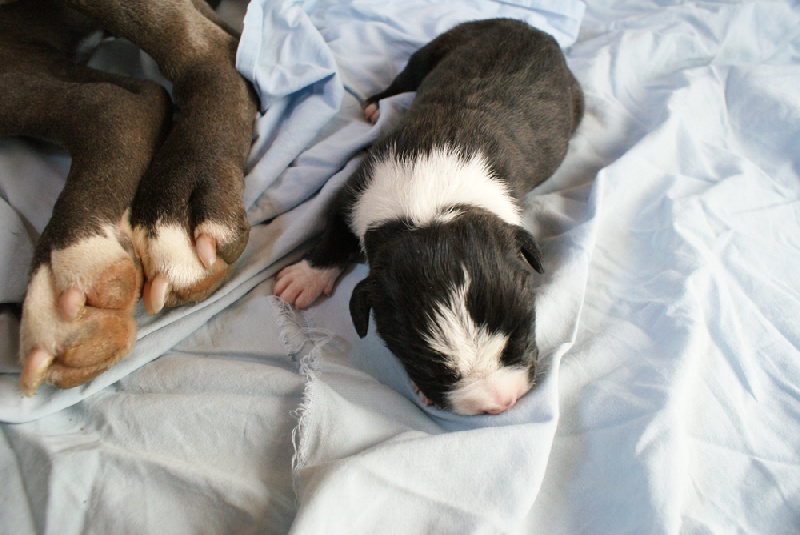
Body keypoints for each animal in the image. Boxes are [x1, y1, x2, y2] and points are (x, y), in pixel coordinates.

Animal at [278, 18, 584, 416]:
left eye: (518, 338)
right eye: (434, 369)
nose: (501, 403)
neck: (430, 205)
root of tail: (532, 28)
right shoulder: (357, 188)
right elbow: (335, 231)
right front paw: (304, 277)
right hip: (441, 46)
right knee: (406, 76)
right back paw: (376, 105)